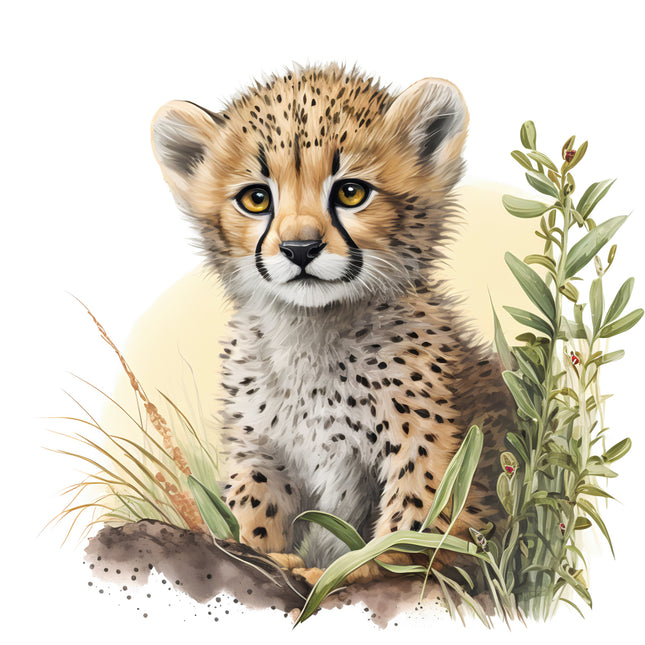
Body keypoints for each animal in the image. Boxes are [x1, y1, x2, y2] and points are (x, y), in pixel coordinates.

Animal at [150, 63, 514, 584]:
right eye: (256, 198)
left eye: (351, 192)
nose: (300, 249)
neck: (310, 331)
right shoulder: (262, 452)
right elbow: (251, 513)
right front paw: (258, 554)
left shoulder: (430, 451)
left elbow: (411, 532)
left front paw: (341, 574)